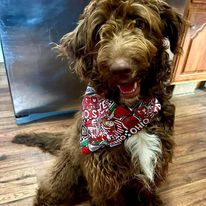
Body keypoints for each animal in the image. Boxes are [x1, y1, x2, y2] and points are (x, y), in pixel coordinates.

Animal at [13, 0, 183, 206]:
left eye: (139, 22)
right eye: (100, 29)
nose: (120, 69)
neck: (130, 114)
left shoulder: (155, 162)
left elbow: (148, 192)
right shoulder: (105, 181)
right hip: (65, 174)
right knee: (46, 192)